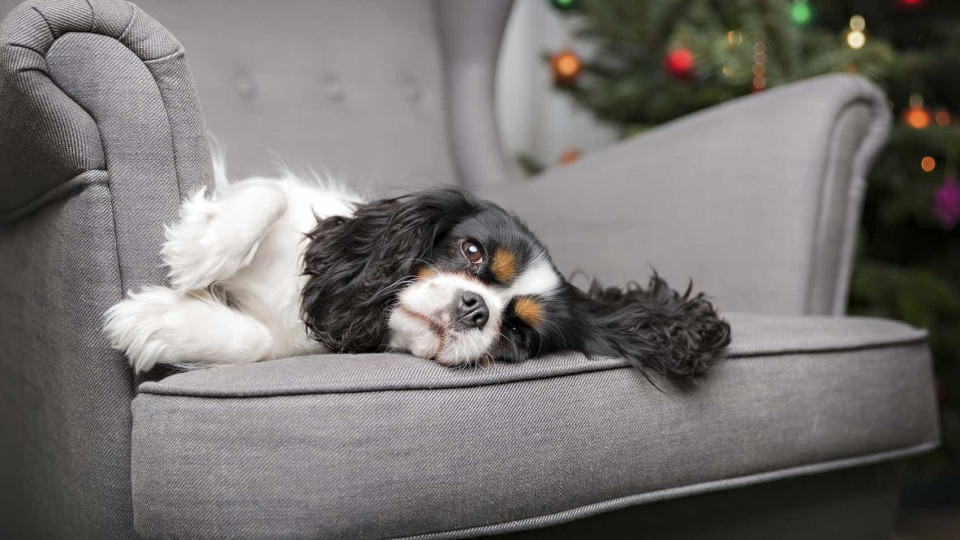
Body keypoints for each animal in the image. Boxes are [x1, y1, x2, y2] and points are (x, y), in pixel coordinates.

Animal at [103, 162, 728, 378]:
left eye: (517, 335)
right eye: (472, 252)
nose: (475, 309)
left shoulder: (288, 344)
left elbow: (255, 340)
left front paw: (153, 321)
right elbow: (270, 194)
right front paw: (200, 246)